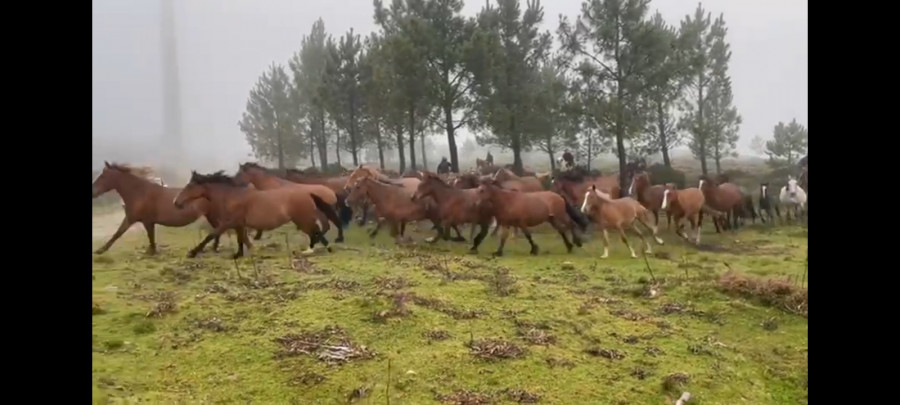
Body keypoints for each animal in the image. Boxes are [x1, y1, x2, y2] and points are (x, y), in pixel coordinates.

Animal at [91, 160, 220, 252]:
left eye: (103, 176)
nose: (93, 192)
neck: (139, 193)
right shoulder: (131, 219)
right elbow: (118, 233)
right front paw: (100, 250)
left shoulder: (146, 221)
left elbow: (149, 237)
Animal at [172, 170, 334, 258]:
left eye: (190, 186)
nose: (175, 202)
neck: (231, 196)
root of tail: (309, 194)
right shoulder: (239, 224)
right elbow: (241, 239)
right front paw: (240, 254)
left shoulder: (228, 222)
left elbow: (211, 235)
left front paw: (192, 253)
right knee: (317, 232)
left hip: (302, 220)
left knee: (316, 232)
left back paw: (312, 250)